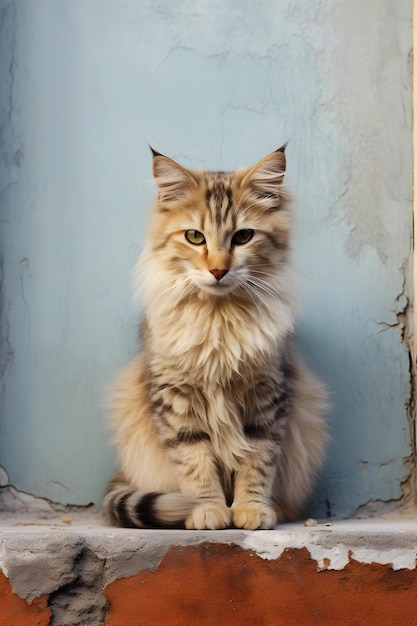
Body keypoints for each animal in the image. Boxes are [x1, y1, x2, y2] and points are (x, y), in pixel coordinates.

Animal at [102, 145, 326, 528]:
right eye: (195, 237)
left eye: (243, 237)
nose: (218, 270)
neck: (219, 319)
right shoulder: (176, 402)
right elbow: (196, 466)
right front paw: (206, 511)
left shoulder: (266, 400)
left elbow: (257, 463)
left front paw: (251, 510)